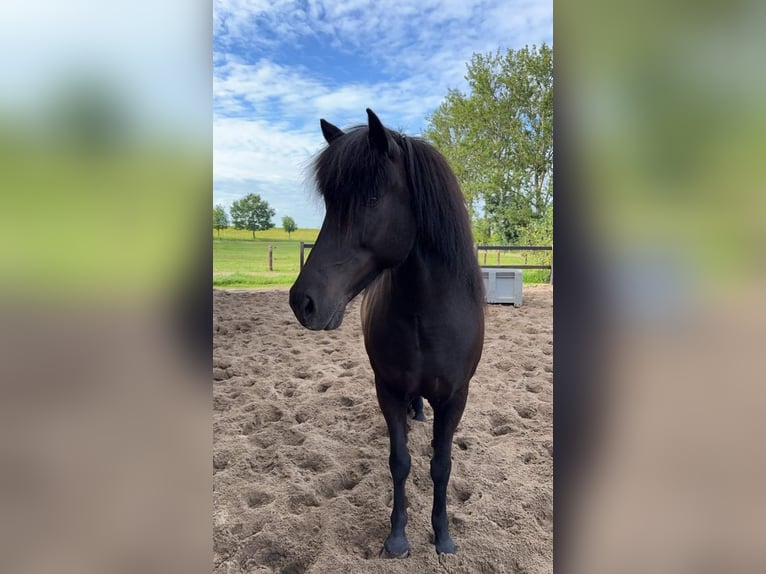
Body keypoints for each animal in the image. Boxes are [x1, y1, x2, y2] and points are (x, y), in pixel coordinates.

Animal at [292, 108, 484, 560]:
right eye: (330, 204)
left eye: (372, 199)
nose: (302, 301)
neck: (428, 316)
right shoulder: (389, 390)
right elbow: (400, 462)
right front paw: (397, 537)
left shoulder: (457, 397)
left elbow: (441, 465)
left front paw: (442, 536)